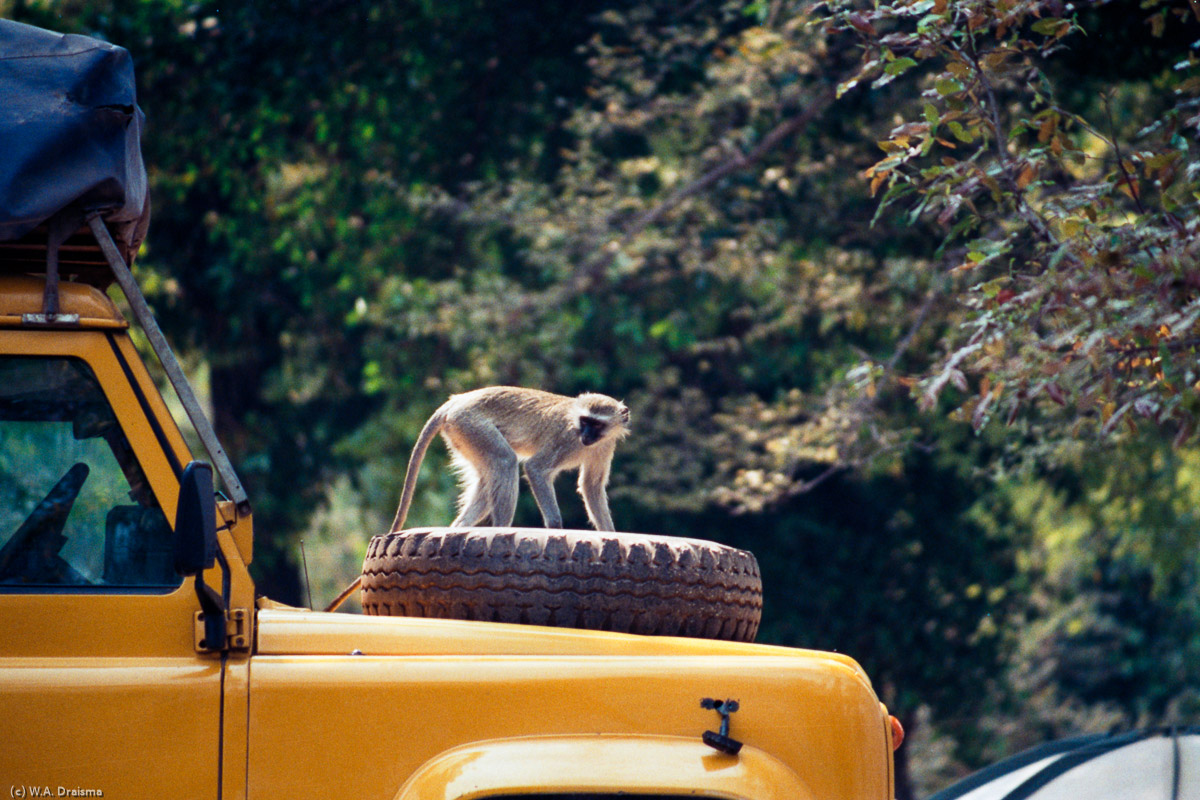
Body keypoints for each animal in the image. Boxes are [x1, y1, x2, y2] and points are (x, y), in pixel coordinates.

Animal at [396, 386, 638, 532]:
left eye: (596, 424)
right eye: (585, 421)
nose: (586, 435)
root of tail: (457, 401)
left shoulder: (605, 445)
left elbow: (591, 485)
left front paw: (610, 534)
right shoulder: (566, 439)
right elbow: (535, 468)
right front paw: (555, 529)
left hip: (462, 433)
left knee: (488, 479)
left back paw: (460, 527)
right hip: (471, 424)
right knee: (505, 461)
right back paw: (500, 531)